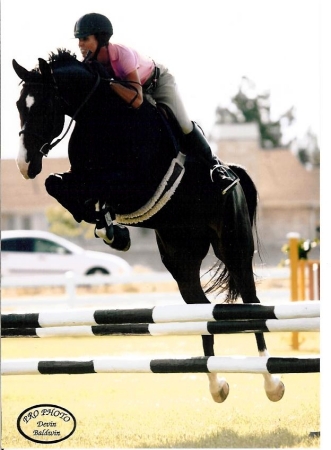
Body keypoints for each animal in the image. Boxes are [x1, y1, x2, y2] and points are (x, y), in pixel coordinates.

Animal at [13, 51, 286, 402]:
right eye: (20, 105)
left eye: (44, 106)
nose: (25, 165)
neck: (101, 117)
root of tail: (235, 173)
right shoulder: (81, 177)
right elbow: (56, 184)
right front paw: (109, 227)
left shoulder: (137, 182)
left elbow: (98, 185)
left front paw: (110, 226)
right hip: (180, 258)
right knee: (201, 311)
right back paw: (217, 384)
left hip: (233, 246)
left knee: (253, 304)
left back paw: (272, 382)